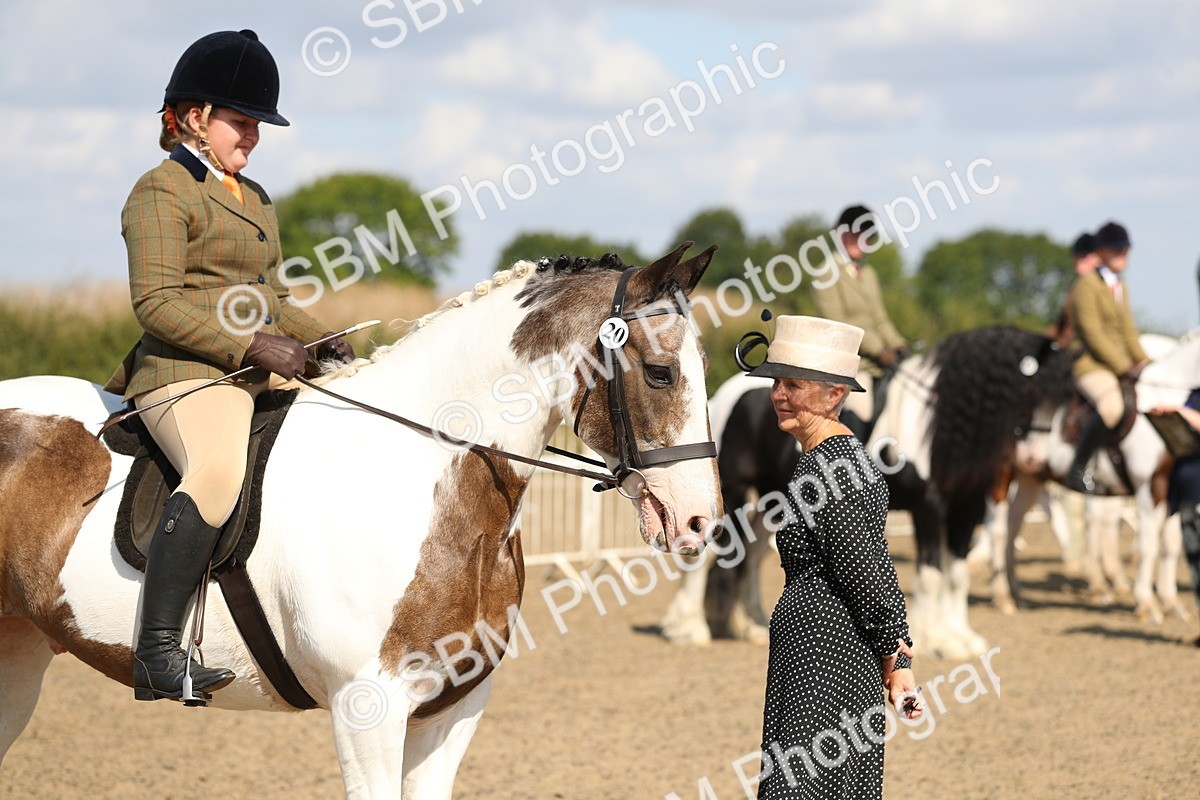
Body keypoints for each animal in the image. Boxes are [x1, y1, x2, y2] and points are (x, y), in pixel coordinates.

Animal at [661, 325, 1072, 660]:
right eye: (1040, 389)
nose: (1036, 458)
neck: (938, 423)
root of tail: (725, 395)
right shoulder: (929, 507)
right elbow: (932, 573)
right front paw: (936, 641)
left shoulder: (966, 508)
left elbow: (956, 574)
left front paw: (961, 639)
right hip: (732, 491)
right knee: (706, 557)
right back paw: (690, 629)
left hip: (770, 503)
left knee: (752, 557)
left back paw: (753, 625)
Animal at [983, 329, 1200, 622]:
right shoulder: (1149, 486)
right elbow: (1149, 544)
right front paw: (1147, 603)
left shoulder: (1171, 488)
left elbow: (1171, 544)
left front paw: (1171, 602)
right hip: (1002, 475)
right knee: (997, 529)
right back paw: (1002, 597)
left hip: (1030, 477)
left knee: (1013, 525)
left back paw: (1015, 592)